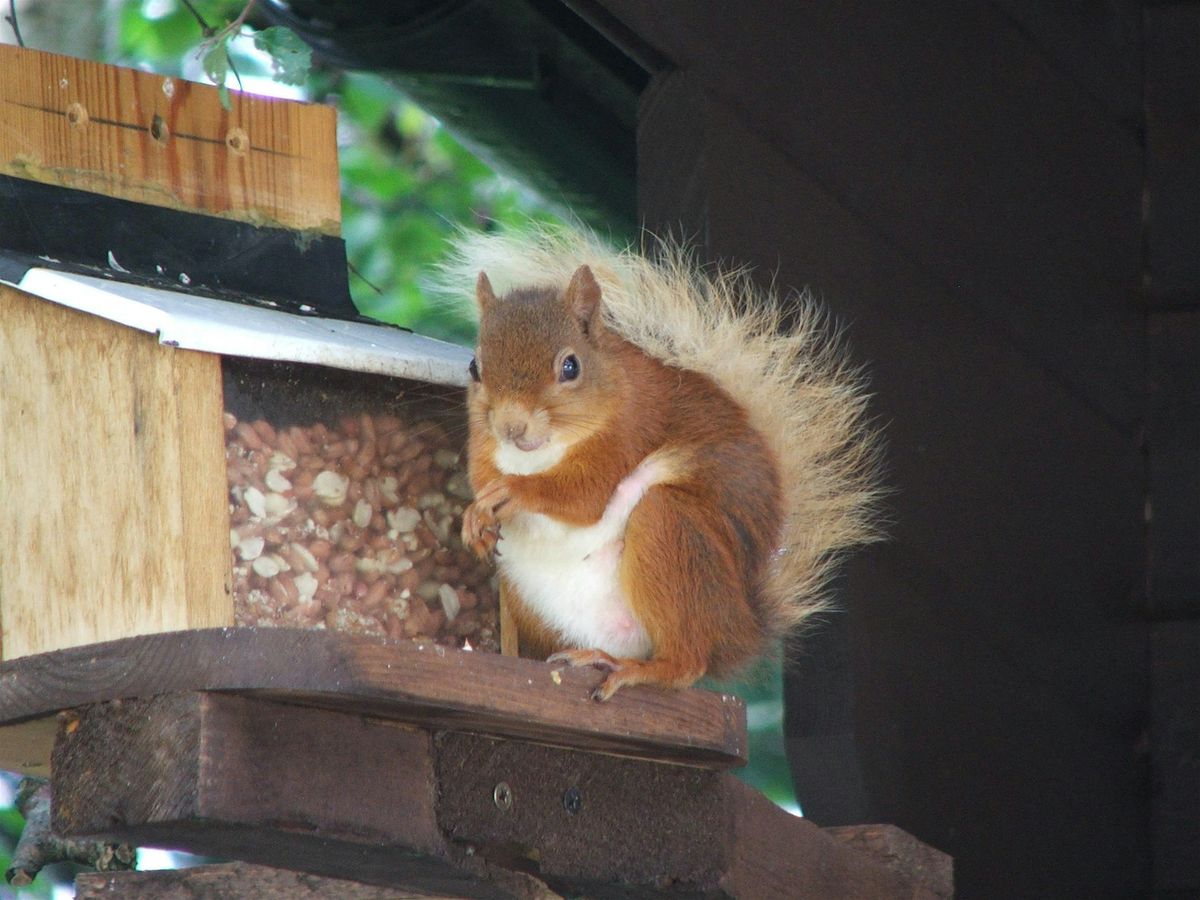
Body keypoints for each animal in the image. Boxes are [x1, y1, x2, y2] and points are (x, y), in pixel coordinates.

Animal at [451, 226, 883, 705]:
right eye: (474, 366)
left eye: (570, 366)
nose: (511, 426)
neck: (539, 453)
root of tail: (738, 630)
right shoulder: (484, 446)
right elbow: (483, 479)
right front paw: (475, 517)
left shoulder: (629, 433)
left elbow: (585, 496)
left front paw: (516, 492)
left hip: (671, 535)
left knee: (685, 663)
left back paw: (632, 668)